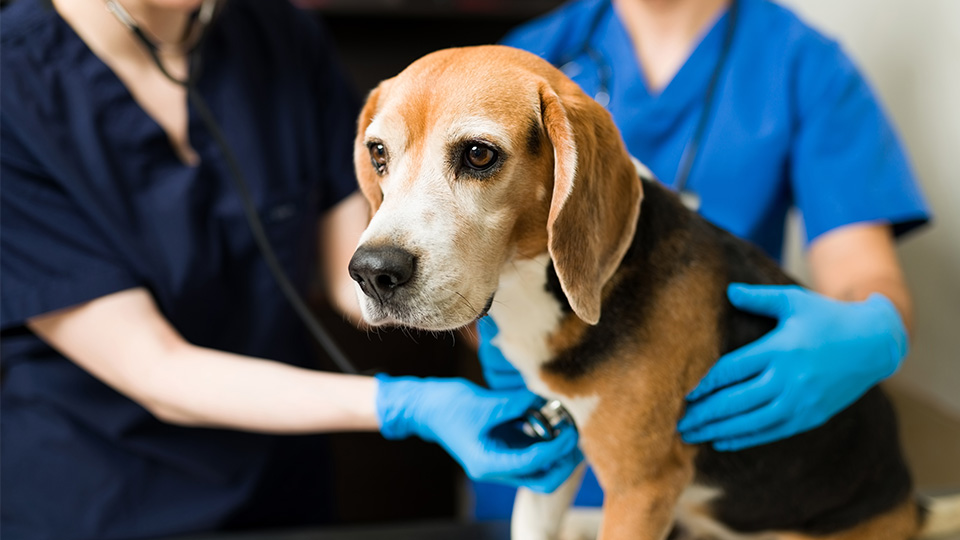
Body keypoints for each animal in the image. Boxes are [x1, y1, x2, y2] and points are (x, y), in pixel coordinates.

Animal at [348, 46, 960, 540]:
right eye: (378, 154)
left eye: (478, 154)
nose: (372, 272)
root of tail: (911, 504)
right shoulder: (556, 454)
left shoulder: (641, 490)